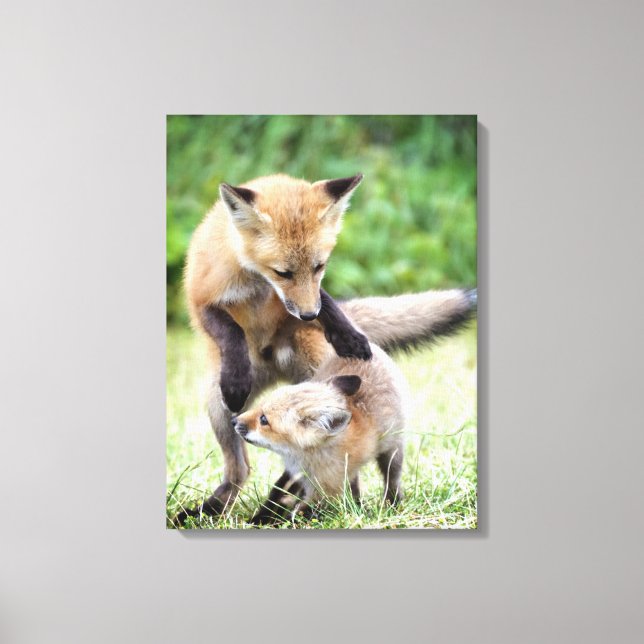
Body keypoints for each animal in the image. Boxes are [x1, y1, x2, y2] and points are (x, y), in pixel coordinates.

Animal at [233, 342, 407, 525]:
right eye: (260, 407)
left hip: (393, 451)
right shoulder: (294, 474)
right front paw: (260, 519)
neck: (305, 458)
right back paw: (358, 505)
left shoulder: (325, 490)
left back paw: (392, 502)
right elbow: (276, 495)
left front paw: (277, 523)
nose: (234, 421)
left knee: (391, 478)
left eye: (264, 420)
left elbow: (299, 514)